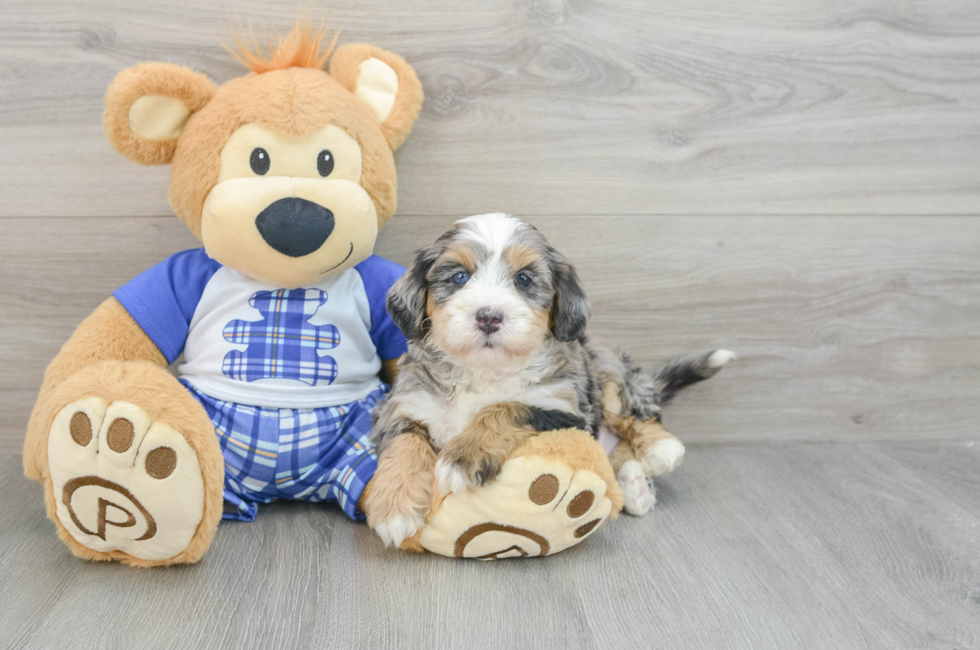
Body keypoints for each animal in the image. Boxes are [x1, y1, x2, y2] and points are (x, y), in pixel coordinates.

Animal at [364, 214, 732, 548]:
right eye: (459, 276)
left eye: (524, 279)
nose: (489, 316)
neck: (483, 370)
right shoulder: (403, 404)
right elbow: (404, 443)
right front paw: (394, 509)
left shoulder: (560, 405)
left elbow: (505, 407)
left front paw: (462, 458)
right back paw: (635, 486)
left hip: (607, 370)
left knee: (635, 411)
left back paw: (659, 450)